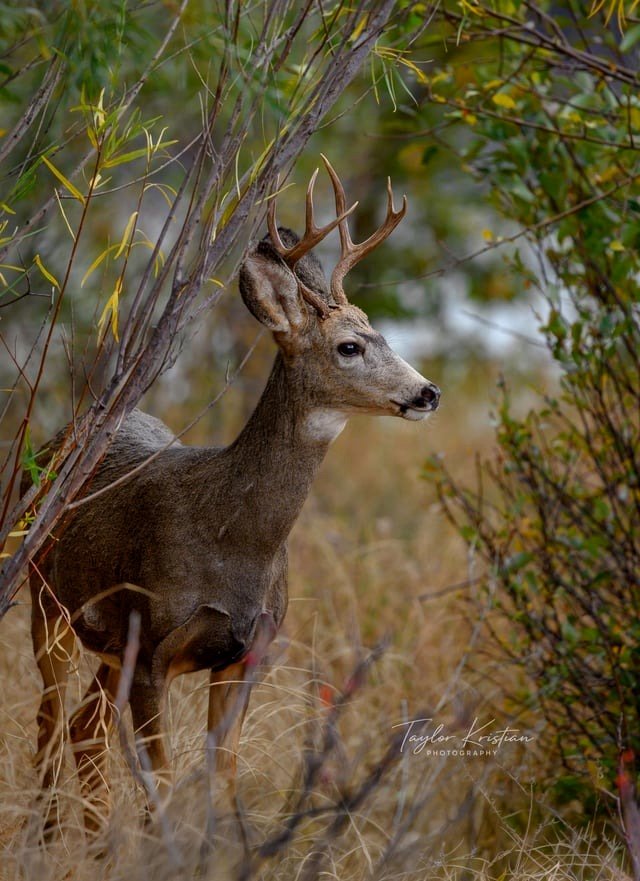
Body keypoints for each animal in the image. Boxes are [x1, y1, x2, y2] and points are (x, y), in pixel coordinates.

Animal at [24, 156, 441, 835]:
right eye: (350, 346)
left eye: (381, 334)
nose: (428, 392)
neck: (231, 537)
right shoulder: (151, 643)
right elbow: (163, 791)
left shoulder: (247, 656)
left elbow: (221, 783)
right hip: (45, 599)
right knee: (51, 724)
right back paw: (46, 837)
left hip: (103, 643)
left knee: (84, 729)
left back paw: (89, 840)